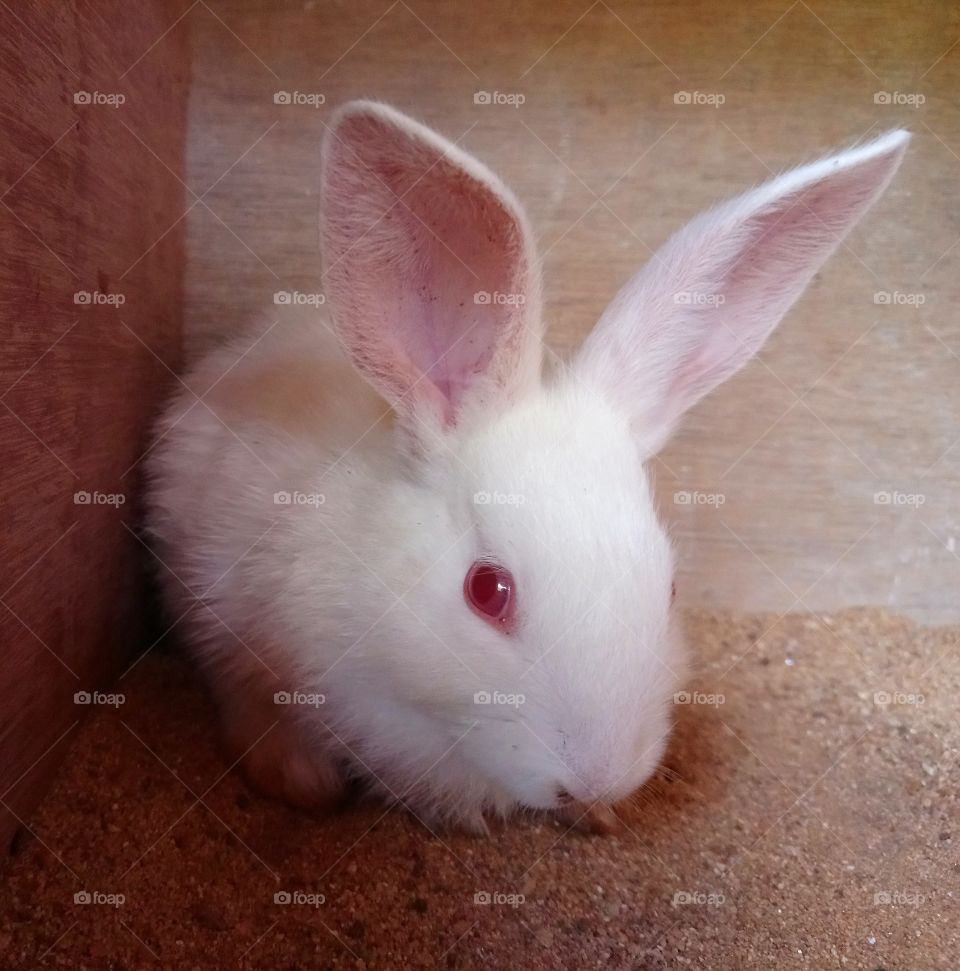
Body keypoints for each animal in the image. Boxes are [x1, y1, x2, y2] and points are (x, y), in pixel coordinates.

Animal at [144, 101, 909, 833]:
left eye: (669, 587)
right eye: (487, 591)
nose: (598, 781)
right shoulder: (232, 620)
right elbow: (252, 702)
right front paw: (304, 784)